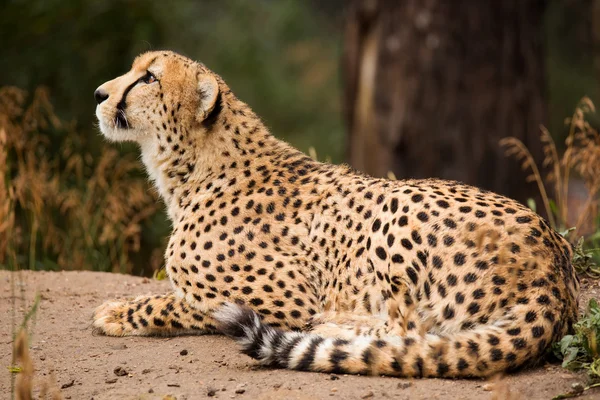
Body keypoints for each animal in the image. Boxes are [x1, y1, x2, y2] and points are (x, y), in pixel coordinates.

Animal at [95, 50, 580, 378]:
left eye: (148, 78)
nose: (99, 93)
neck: (192, 169)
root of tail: (554, 268)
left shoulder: (286, 300)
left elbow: (186, 302)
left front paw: (117, 312)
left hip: (395, 209)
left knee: (413, 330)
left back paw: (334, 326)